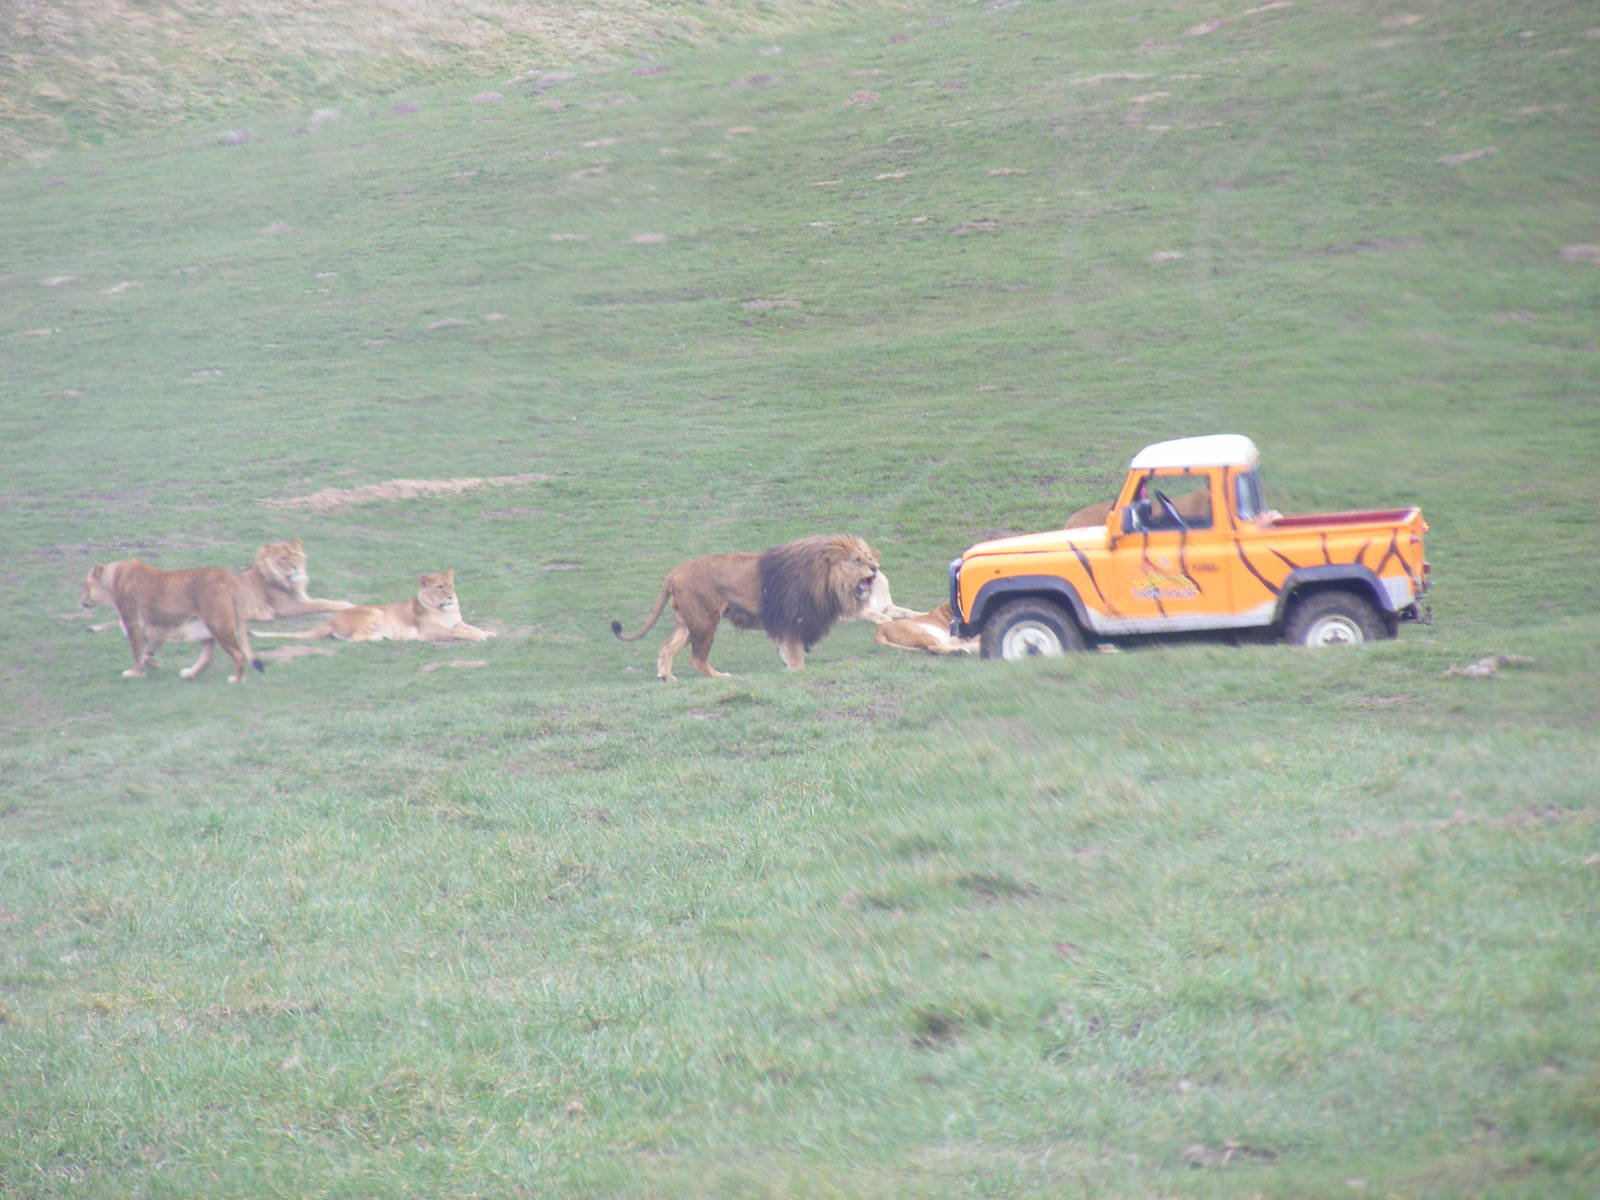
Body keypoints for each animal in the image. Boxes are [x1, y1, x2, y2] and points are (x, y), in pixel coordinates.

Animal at [80, 559, 264, 682]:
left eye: (85, 587)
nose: (81, 602)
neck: (112, 580)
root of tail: (229, 577)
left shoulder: (133, 624)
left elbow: (137, 651)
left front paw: (134, 673)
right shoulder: (157, 629)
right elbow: (148, 651)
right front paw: (154, 663)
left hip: (218, 625)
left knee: (239, 654)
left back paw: (236, 679)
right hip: (203, 627)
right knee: (207, 655)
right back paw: (190, 674)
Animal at [254, 570, 493, 643]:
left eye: (451, 585)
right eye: (439, 587)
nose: (451, 597)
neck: (445, 611)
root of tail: (330, 619)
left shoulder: (457, 622)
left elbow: (468, 627)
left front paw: (488, 632)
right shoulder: (430, 633)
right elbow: (457, 633)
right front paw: (479, 636)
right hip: (374, 612)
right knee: (354, 639)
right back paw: (378, 638)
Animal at [611, 534, 881, 680]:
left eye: (870, 558)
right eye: (858, 560)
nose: (876, 568)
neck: (826, 579)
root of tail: (674, 572)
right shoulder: (792, 621)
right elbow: (796, 658)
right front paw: (796, 673)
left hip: (688, 622)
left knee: (667, 647)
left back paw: (666, 677)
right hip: (705, 621)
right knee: (696, 659)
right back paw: (720, 677)